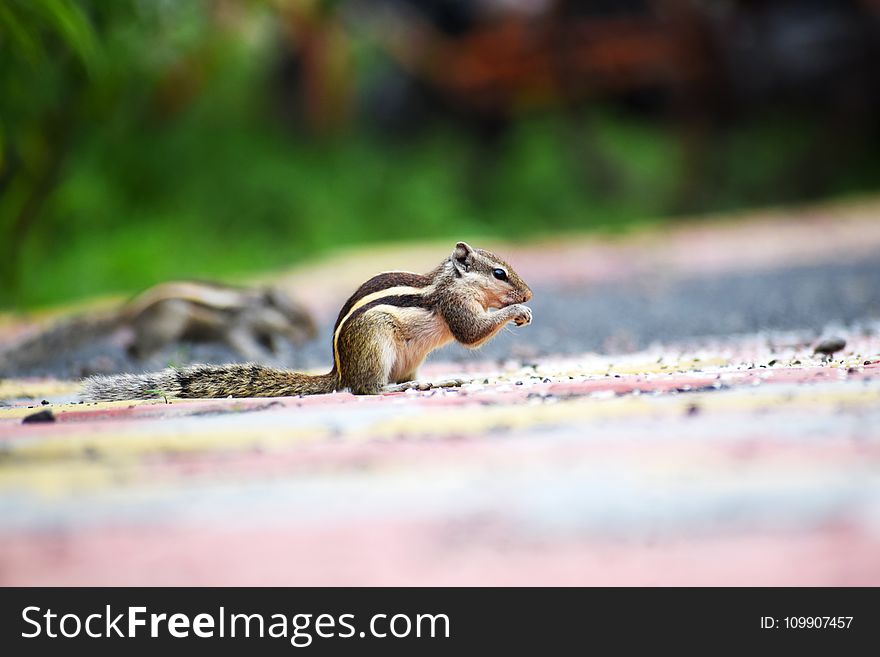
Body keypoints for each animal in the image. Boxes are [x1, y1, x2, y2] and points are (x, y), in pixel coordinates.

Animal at [82, 242, 532, 400]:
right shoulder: (455, 304)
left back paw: (435, 382)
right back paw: (405, 387)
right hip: (377, 347)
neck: (450, 281)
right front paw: (515, 312)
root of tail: (340, 370)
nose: (528, 295)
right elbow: (470, 333)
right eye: (499, 274)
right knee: (367, 388)